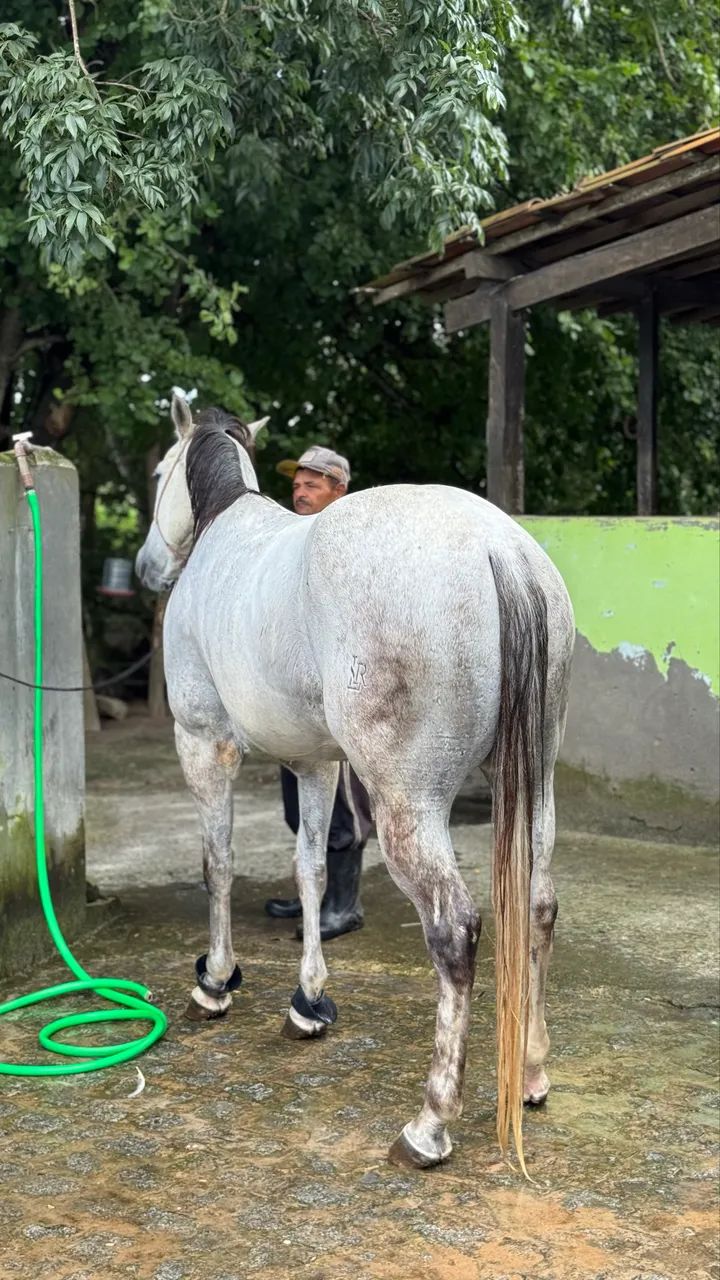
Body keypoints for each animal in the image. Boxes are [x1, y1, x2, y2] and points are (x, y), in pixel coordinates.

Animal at [135, 394, 574, 1172]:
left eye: (160, 472)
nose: (146, 567)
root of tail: (502, 552)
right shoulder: (314, 765)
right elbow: (310, 867)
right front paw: (308, 1001)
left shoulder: (204, 742)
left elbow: (217, 863)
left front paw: (215, 981)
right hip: (531, 786)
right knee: (539, 906)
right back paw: (529, 1072)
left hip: (408, 804)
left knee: (455, 929)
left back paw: (430, 1124)